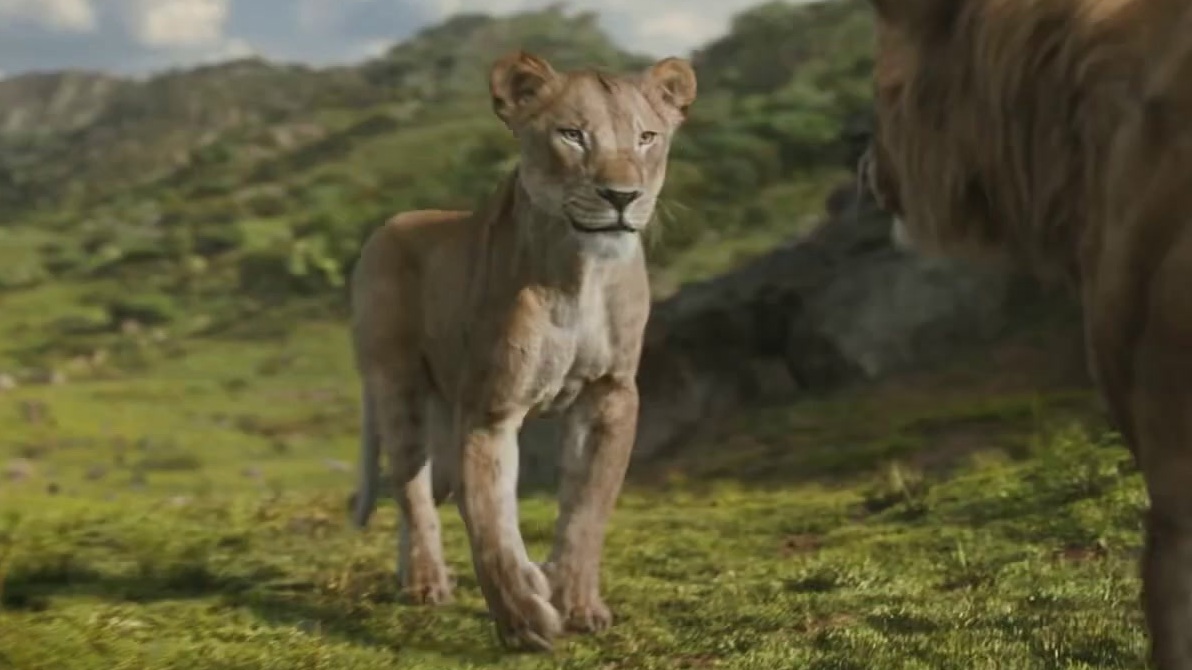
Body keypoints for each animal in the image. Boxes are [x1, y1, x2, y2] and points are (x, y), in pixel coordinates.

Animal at [346, 50, 697, 651]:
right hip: (398, 386)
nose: (622, 196)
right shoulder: (490, 408)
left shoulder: (609, 395)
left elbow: (587, 507)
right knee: (409, 486)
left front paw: (576, 602)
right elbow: (490, 520)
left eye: (646, 137)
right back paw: (426, 581)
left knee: (426, 492)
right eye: (573, 135)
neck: (581, 272)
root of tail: (390, 224)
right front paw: (524, 617)